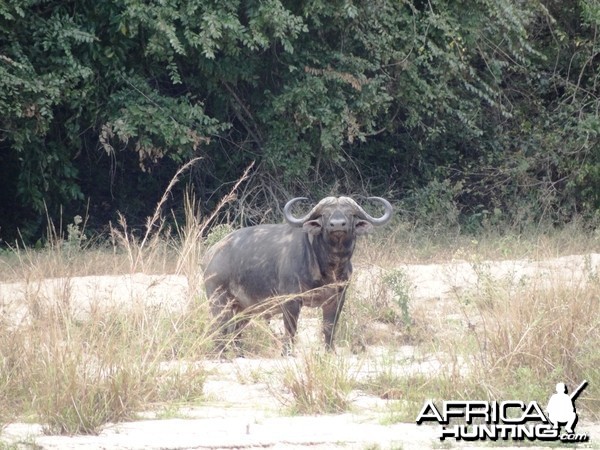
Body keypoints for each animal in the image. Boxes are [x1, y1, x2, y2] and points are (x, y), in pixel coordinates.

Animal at [204, 195, 394, 354]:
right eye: (325, 214)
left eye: (350, 214)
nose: (337, 224)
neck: (329, 266)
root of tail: (211, 254)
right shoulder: (291, 300)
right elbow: (291, 328)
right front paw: (287, 353)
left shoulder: (337, 298)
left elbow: (329, 327)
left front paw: (330, 352)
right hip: (219, 301)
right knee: (219, 327)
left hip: (243, 308)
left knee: (236, 331)